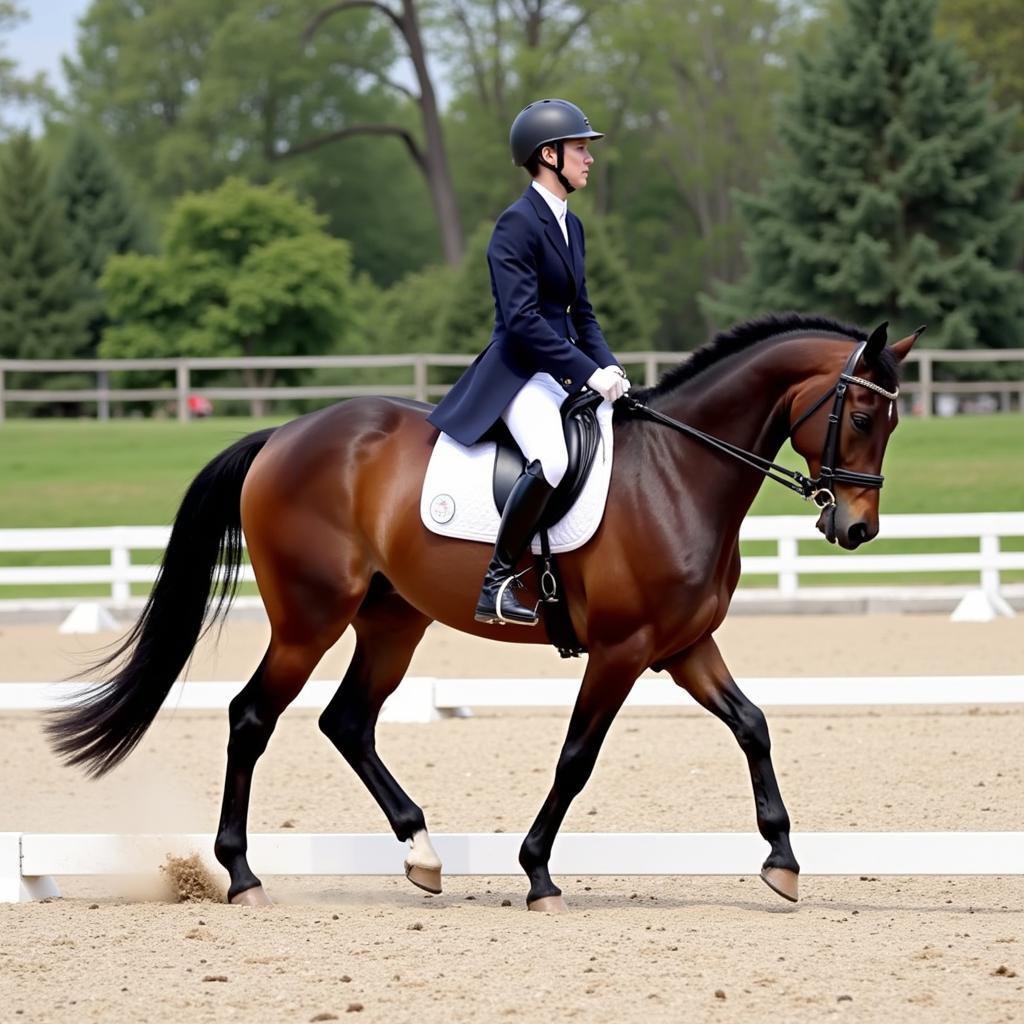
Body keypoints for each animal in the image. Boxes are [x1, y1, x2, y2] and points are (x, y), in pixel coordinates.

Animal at [46, 311, 921, 913]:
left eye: (892, 421)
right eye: (863, 416)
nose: (856, 529)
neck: (680, 472)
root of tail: (283, 436)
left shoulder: (684, 645)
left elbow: (753, 725)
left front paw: (782, 862)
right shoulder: (624, 649)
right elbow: (577, 758)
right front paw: (538, 874)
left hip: (393, 620)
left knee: (347, 721)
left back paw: (422, 855)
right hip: (309, 617)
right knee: (252, 716)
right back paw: (242, 873)